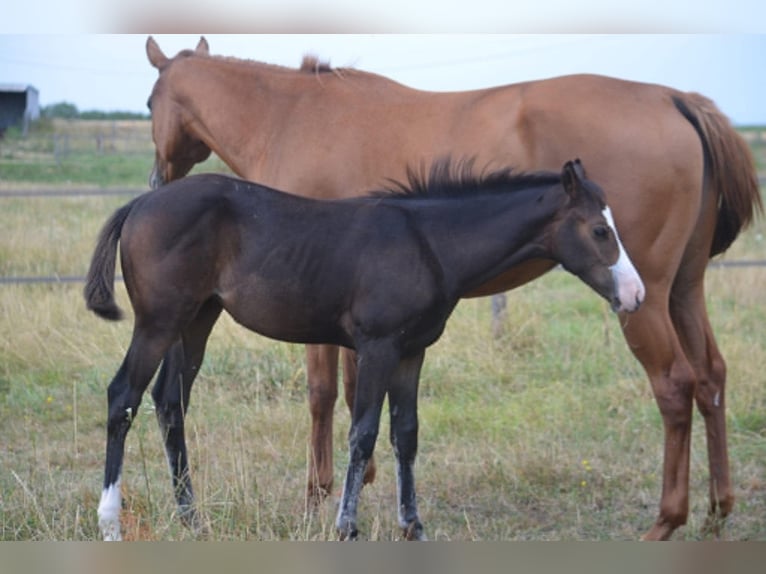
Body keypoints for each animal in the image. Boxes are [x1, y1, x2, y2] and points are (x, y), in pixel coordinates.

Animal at [85, 159, 644, 541]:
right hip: (159, 322)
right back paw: (111, 521)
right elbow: (363, 434)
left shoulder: (413, 352)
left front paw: (413, 524)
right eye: (600, 229)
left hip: (196, 320)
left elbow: (406, 434)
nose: (635, 295)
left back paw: (191, 518)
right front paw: (346, 526)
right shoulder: (377, 347)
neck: (427, 243)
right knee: (123, 396)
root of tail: (138, 205)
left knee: (169, 403)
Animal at [144, 37, 762, 540]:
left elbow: (323, 396)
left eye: (150, 104)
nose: (157, 183)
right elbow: (362, 401)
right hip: (682, 291)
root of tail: (675, 98)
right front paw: (366, 487)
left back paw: (666, 521)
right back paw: (716, 511)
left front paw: (318, 497)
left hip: (643, 299)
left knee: (675, 385)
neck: (292, 117)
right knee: (710, 378)